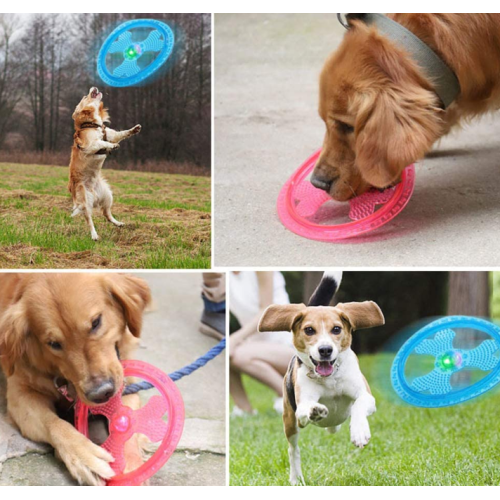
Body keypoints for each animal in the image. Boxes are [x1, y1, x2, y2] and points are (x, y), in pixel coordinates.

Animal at [68, 87, 143, 240]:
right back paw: (94, 235)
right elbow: (102, 143)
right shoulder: (90, 145)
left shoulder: (110, 134)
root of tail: (95, 195)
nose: (94, 87)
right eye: (85, 96)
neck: (92, 125)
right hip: (85, 202)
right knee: (89, 220)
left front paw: (134, 129)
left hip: (108, 195)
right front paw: (111, 146)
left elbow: (120, 134)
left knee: (106, 214)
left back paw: (118, 223)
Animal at [260, 272, 384, 486]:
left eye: (336, 329)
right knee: (293, 449)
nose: (325, 350)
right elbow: (308, 408)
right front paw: (316, 410)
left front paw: (359, 431)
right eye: (309, 330)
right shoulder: (301, 407)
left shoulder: (367, 396)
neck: (330, 379)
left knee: (336, 424)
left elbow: (359, 405)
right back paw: (296, 478)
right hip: (290, 421)